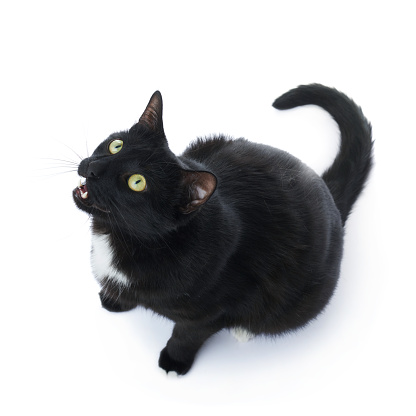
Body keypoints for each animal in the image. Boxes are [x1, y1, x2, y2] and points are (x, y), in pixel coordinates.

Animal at [74, 83, 374, 374]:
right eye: (116, 145)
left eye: (137, 182)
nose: (94, 168)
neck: (122, 237)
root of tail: (328, 194)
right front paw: (115, 299)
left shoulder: (214, 311)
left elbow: (187, 334)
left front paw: (174, 361)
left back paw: (244, 331)